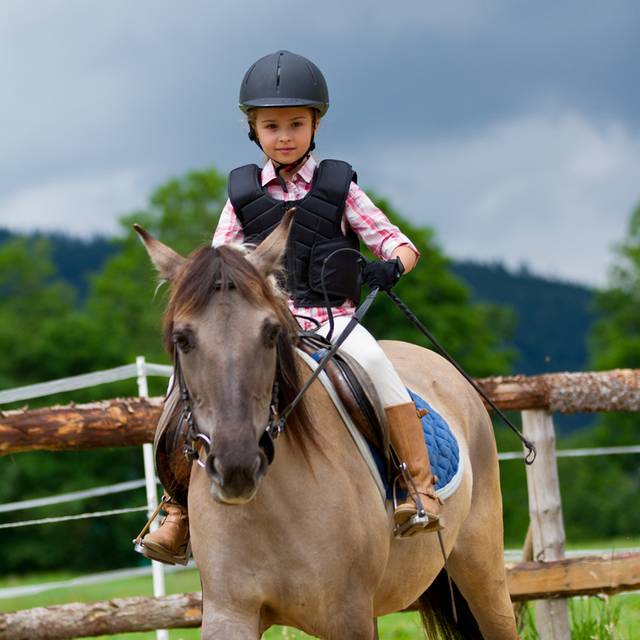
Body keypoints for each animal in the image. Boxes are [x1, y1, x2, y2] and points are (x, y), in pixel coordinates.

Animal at [134, 211, 516, 640]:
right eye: (182, 338)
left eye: (271, 333)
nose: (236, 466)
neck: (271, 510)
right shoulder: (230, 613)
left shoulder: (347, 616)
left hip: (481, 571)